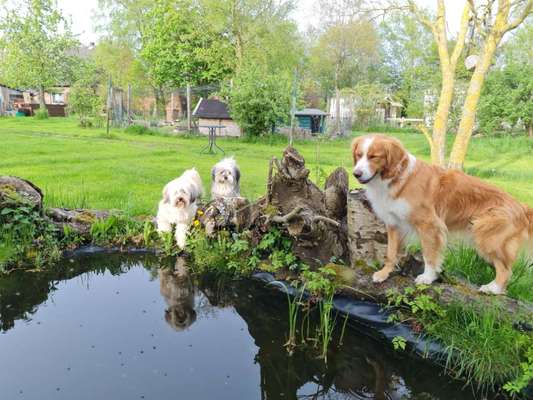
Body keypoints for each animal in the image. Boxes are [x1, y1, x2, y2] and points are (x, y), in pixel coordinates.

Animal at [352, 134, 528, 294]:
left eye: (374, 157)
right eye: (359, 155)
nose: (356, 174)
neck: (398, 179)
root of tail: (521, 206)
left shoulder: (429, 225)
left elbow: (429, 255)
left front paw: (428, 278)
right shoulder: (393, 223)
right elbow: (390, 253)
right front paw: (384, 273)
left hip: (486, 236)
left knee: (506, 270)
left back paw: (493, 288)